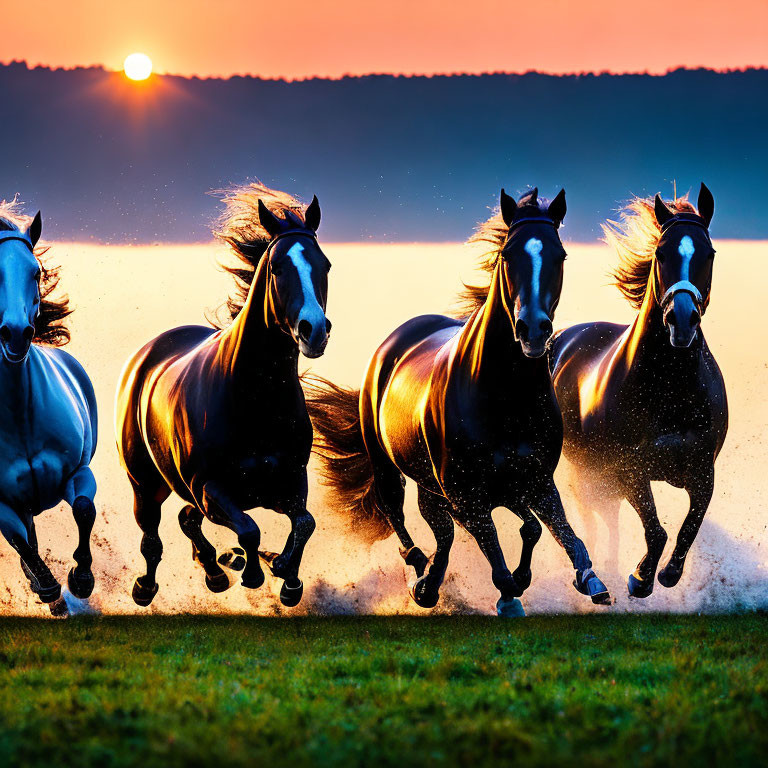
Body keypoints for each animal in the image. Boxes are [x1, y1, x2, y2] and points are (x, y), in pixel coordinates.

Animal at [115, 186, 332, 608]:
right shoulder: (210, 488)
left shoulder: (289, 482)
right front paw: (254, 571)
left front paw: (288, 577)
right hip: (145, 484)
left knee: (186, 520)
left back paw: (216, 571)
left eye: (325, 265)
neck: (256, 401)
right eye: (277, 267)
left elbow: (305, 523)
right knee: (152, 537)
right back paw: (146, 587)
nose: (313, 330)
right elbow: (248, 530)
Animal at [304, 189, 608, 616]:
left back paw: (431, 584)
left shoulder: (535, 481)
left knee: (461, 531)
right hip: (392, 471)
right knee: (402, 517)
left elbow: (559, 531)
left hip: (447, 487)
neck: (504, 396)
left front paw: (590, 580)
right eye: (507, 255)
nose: (533, 330)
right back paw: (421, 571)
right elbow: (491, 543)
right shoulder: (467, 494)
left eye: (559, 254)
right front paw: (509, 597)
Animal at [552, 186, 728, 600]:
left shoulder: (703, 472)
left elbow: (688, 528)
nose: (682, 321)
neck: (672, 389)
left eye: (709, 253)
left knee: (610, 522)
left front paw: (668, 574)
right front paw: (641, 578)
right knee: (597, 520)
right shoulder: (630, 470)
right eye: (661, 253)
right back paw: (600, 577)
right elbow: (656, 530)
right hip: (591, 474)